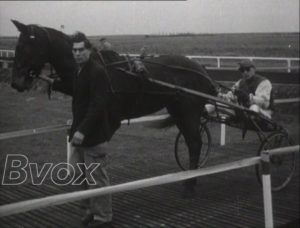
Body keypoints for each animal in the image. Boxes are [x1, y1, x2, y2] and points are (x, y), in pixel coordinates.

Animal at [10, 20, 217, 196]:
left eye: (24, 47)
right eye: (16, 46)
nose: (16, 82)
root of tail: (201, 69)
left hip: (189, 111)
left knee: (195, 143)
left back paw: (190, 185)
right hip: (178, 110)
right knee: (192, 142)